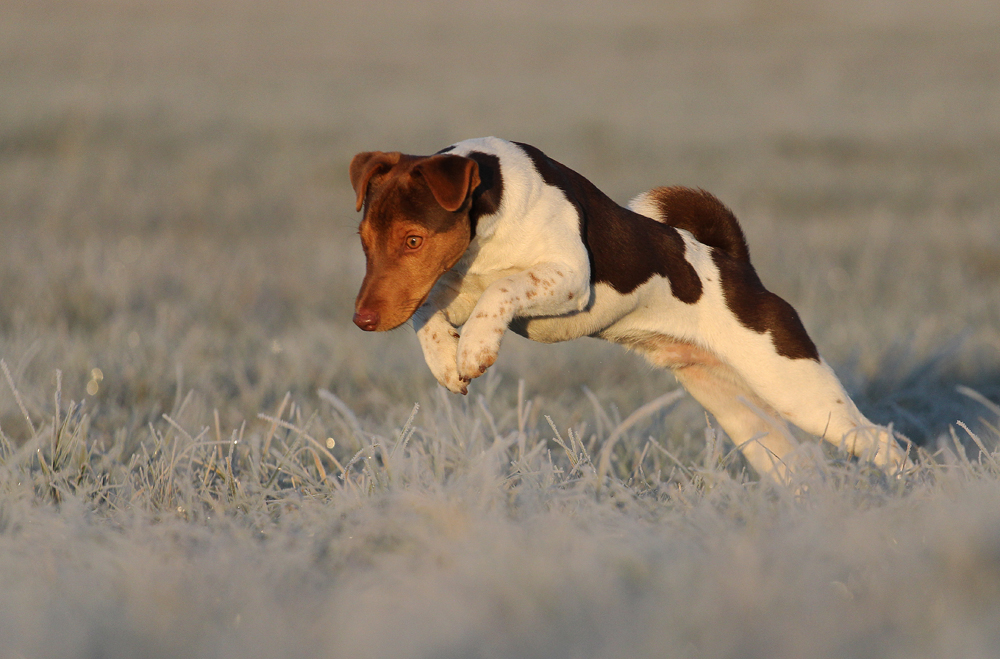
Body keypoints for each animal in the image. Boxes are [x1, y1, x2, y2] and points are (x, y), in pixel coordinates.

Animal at [348, 137, 912, 482]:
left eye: (414, 239)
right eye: (363, 241)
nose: (361, 321)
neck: (492, 204)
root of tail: (738, 265)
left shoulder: (569, 276)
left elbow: (502, 288)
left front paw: (474, 351)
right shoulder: (448, 287)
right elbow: (425, 312)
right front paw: (447, 360)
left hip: (799, 392)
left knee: (883, 443)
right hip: (737, 409)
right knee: (798, 470)